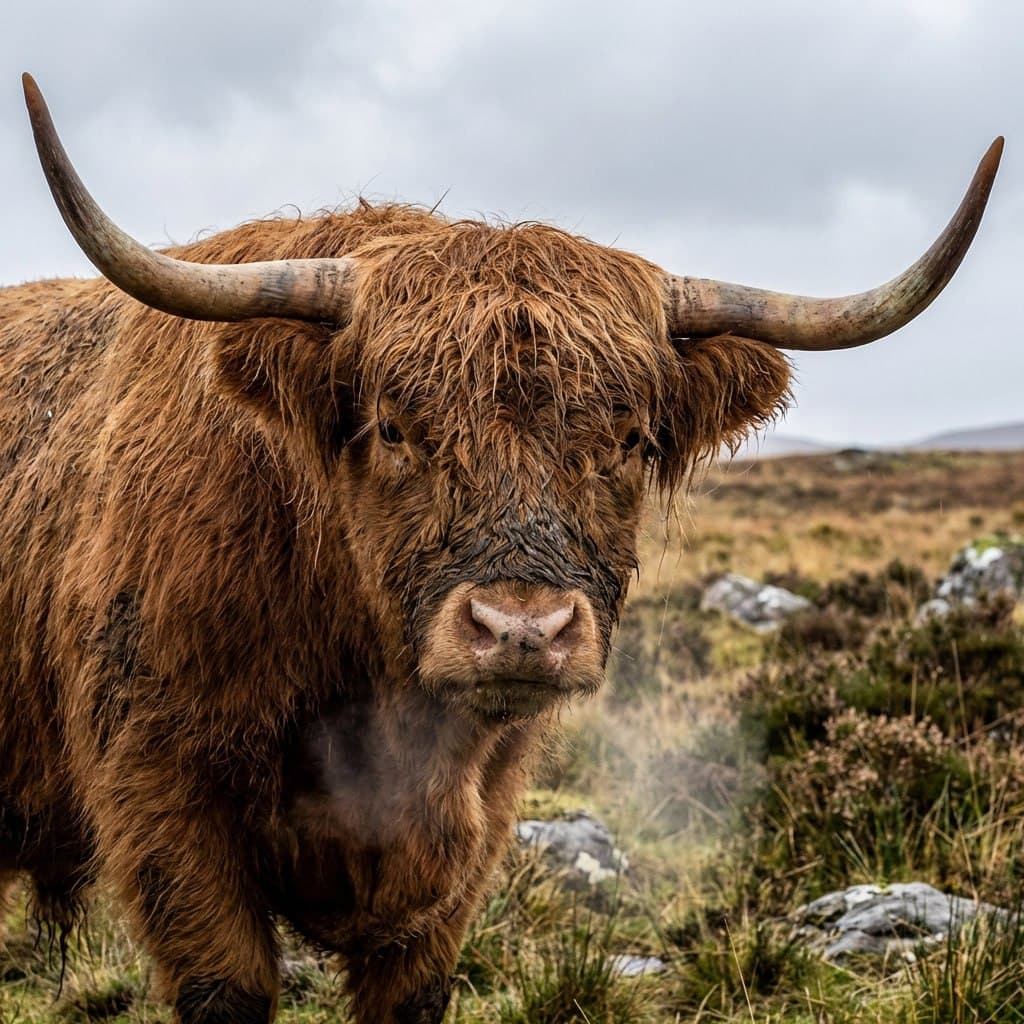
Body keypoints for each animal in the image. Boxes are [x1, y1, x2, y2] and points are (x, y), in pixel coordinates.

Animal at [0, 73, 1001, 1024]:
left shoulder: (473, 835)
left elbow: (415, 992)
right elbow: (229, 987)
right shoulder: (164, 798)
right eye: (394, 428)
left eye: (630, 440)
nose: (522, 631)